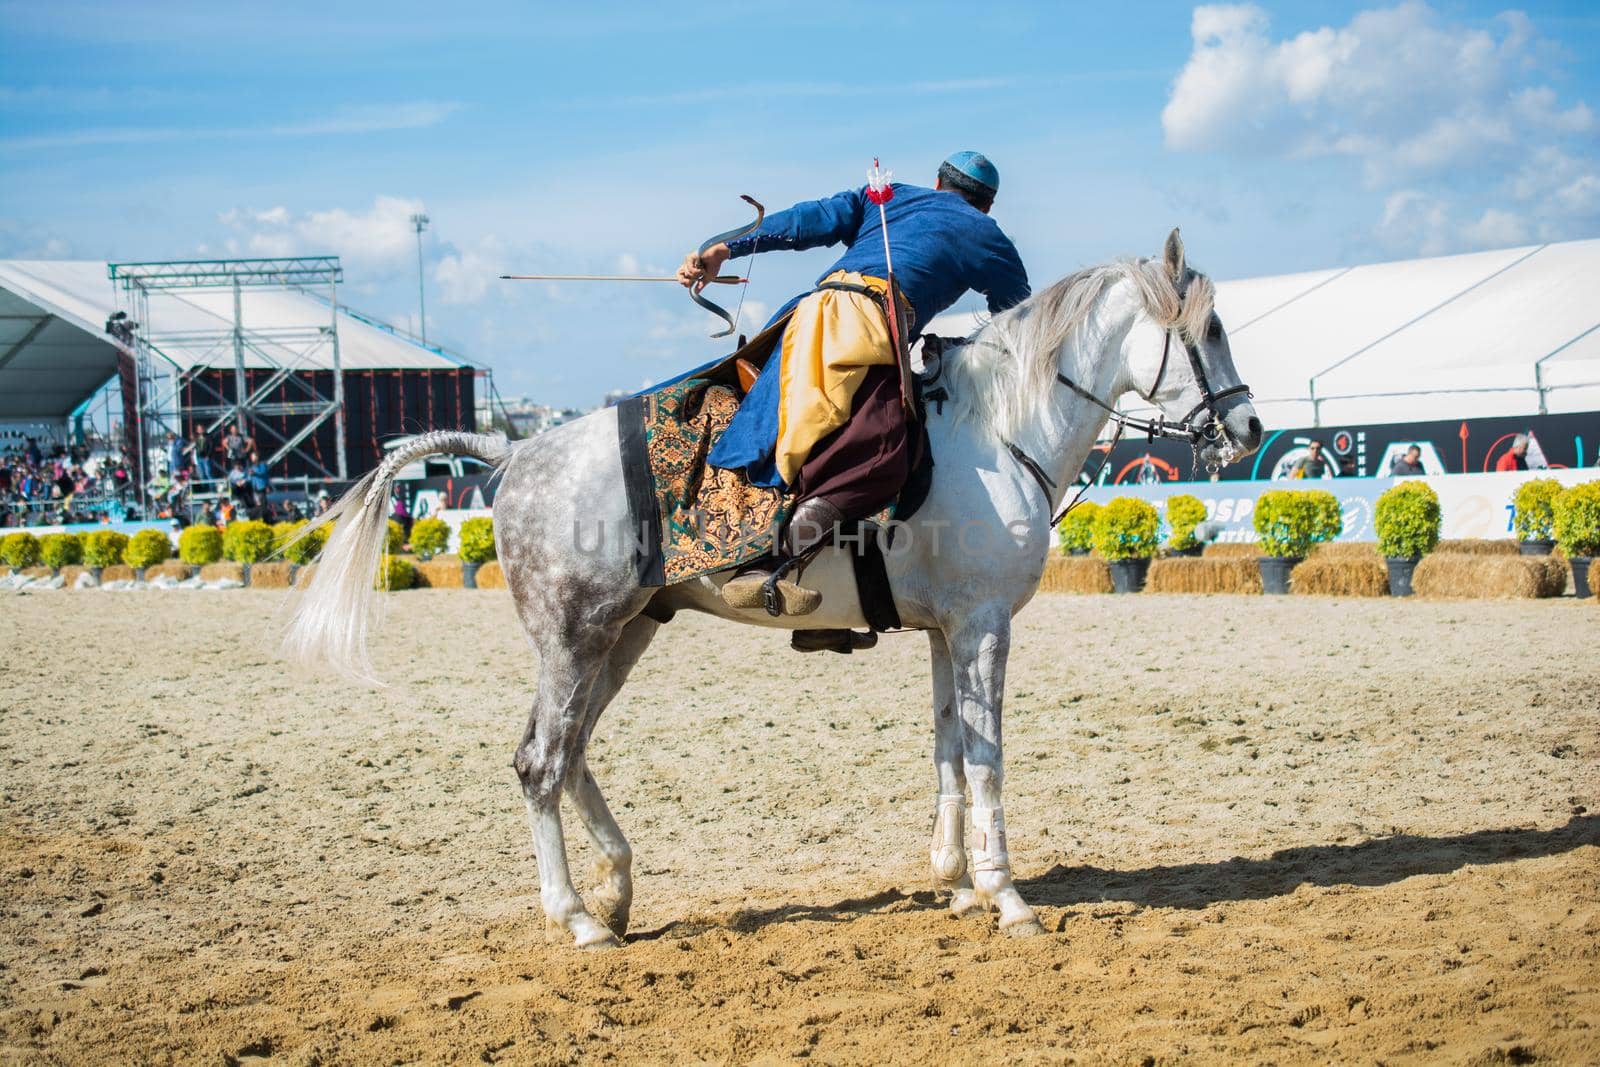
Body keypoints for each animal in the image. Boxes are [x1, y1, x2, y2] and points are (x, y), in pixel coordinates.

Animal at [284, 230, 1260, 947]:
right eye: (1210, 329)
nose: (1249, 426)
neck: (997, 429)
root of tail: (513, 451)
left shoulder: (947, 630)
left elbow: (947, 745)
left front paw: (955, 879)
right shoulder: (984, 627)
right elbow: (986, 756)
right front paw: (1006, 893)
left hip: (619, 636)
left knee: (569, 754)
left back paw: (615, 888)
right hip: (575, 639)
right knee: (539, 763)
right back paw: (576, 919)